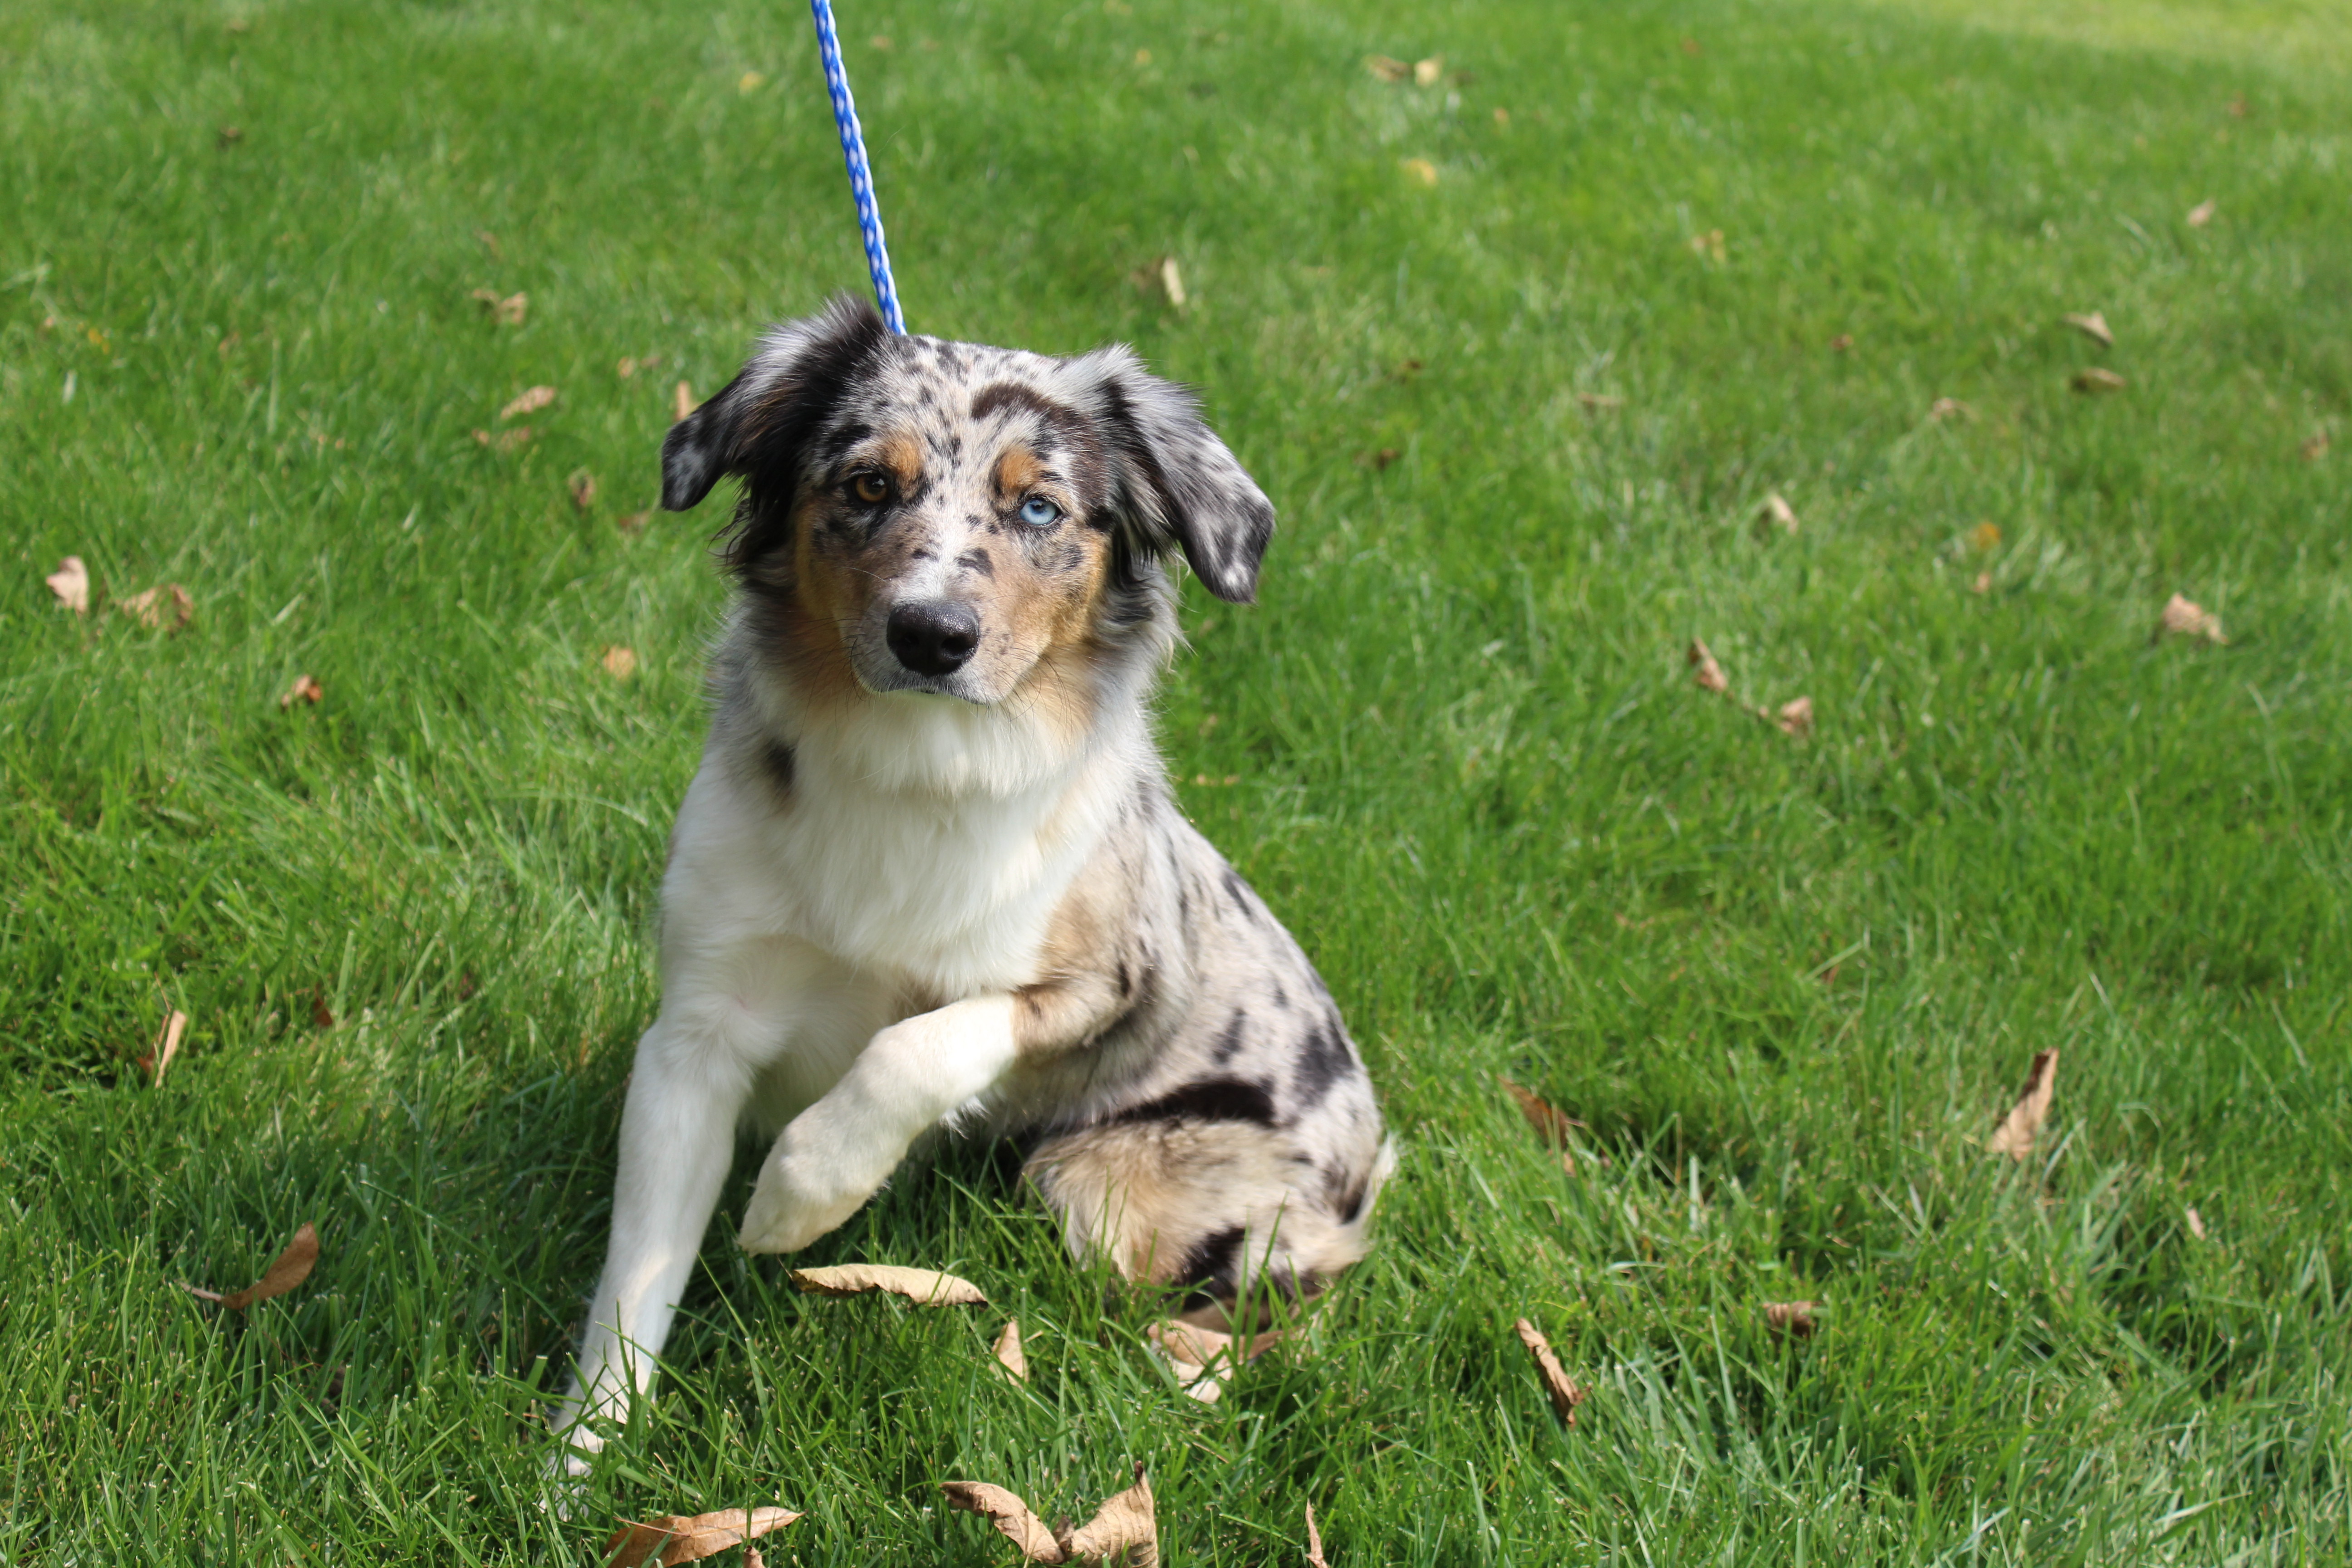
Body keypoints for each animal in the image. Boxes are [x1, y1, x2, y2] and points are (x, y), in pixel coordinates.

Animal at [545, 297, 1392, 1476]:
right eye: (867, 485)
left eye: (1039, 506)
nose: (933, 634)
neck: (917, 762)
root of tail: (1368, 1148)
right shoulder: (699, 1028)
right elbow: (636, 1276)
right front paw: (580, 1463)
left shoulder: (1104, 981)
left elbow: (918, 1043)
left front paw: (794, 1200)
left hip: (1103, 1185)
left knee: (1277, 1311)